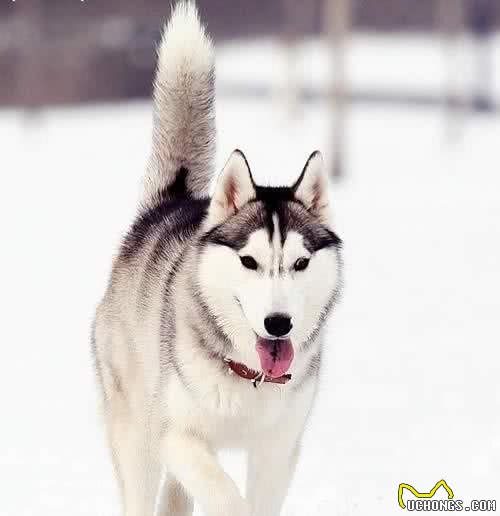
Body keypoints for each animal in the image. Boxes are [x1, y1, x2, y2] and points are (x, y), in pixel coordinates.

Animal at [93, 2, 344, 512]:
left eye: (300, 263)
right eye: (249, 262)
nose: (278, 324)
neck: (250, 375)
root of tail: (171, 202)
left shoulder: (278, 449)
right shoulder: (176, 434)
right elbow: (226, 494)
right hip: (137, 436)